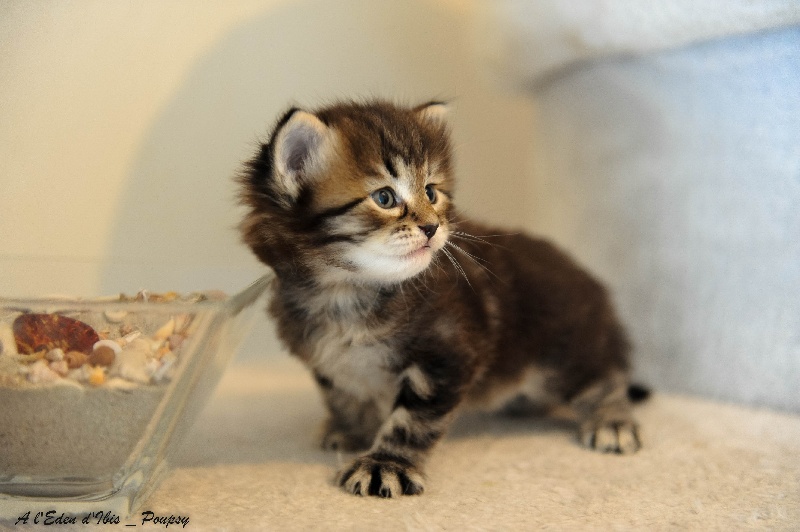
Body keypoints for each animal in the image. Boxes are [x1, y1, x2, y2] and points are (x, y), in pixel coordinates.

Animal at [238, 101, 644, 498]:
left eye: (431, 192)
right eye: (384, 198)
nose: (432, 226)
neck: (347, 292)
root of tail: (592, 284)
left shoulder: (446, 354)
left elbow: (411, 420)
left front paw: (386, 464)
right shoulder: (330, 363)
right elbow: (345, 397)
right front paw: (352, 431)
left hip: (566, 352)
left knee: (604, 378)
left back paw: (612, 421)